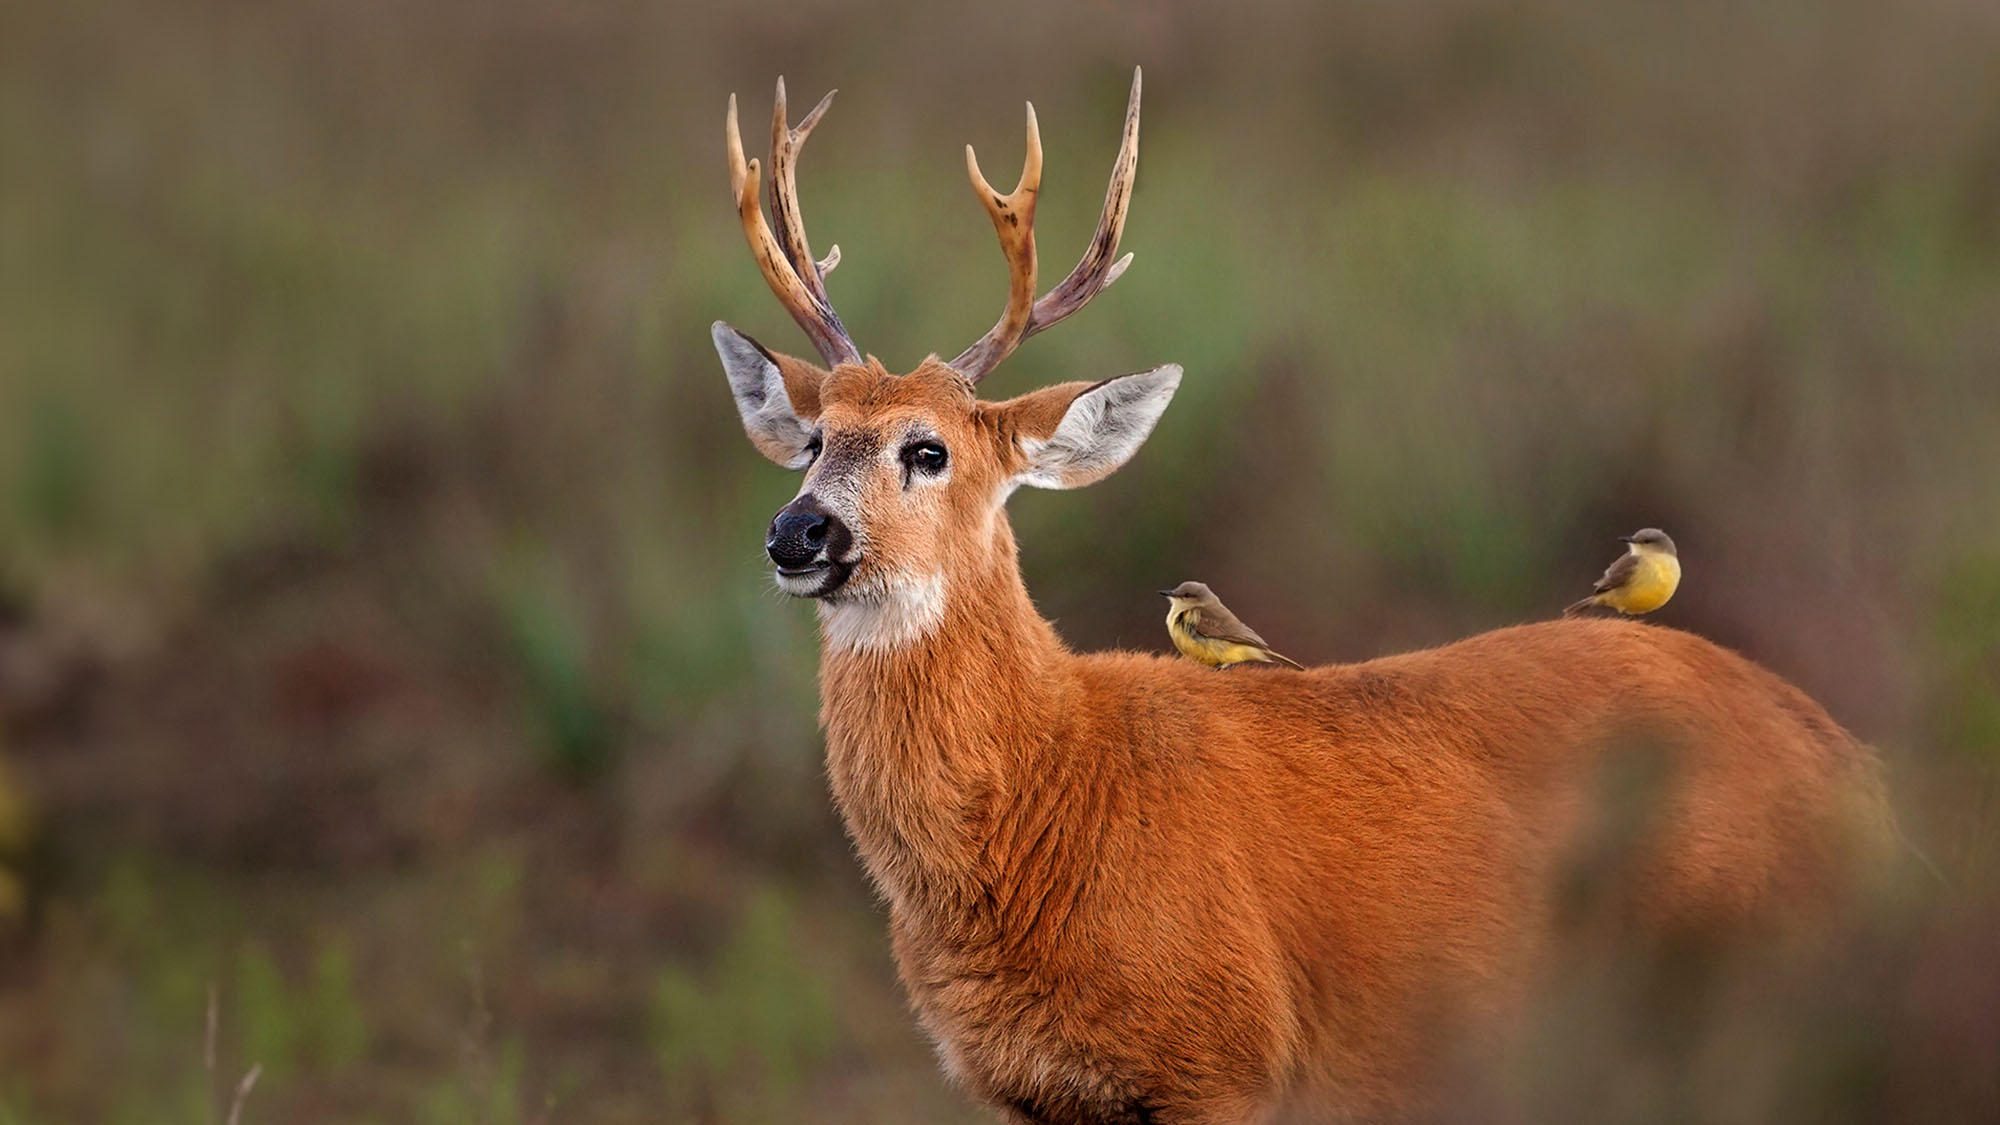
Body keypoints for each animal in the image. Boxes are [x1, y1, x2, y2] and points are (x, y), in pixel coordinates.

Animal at [708, 70, 1888, 1120]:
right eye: (811, 440)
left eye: (929, 449)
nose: (796, 532)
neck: (1057, 782)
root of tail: (1839, 755)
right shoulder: (1031, 1095)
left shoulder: (1224, 1058)